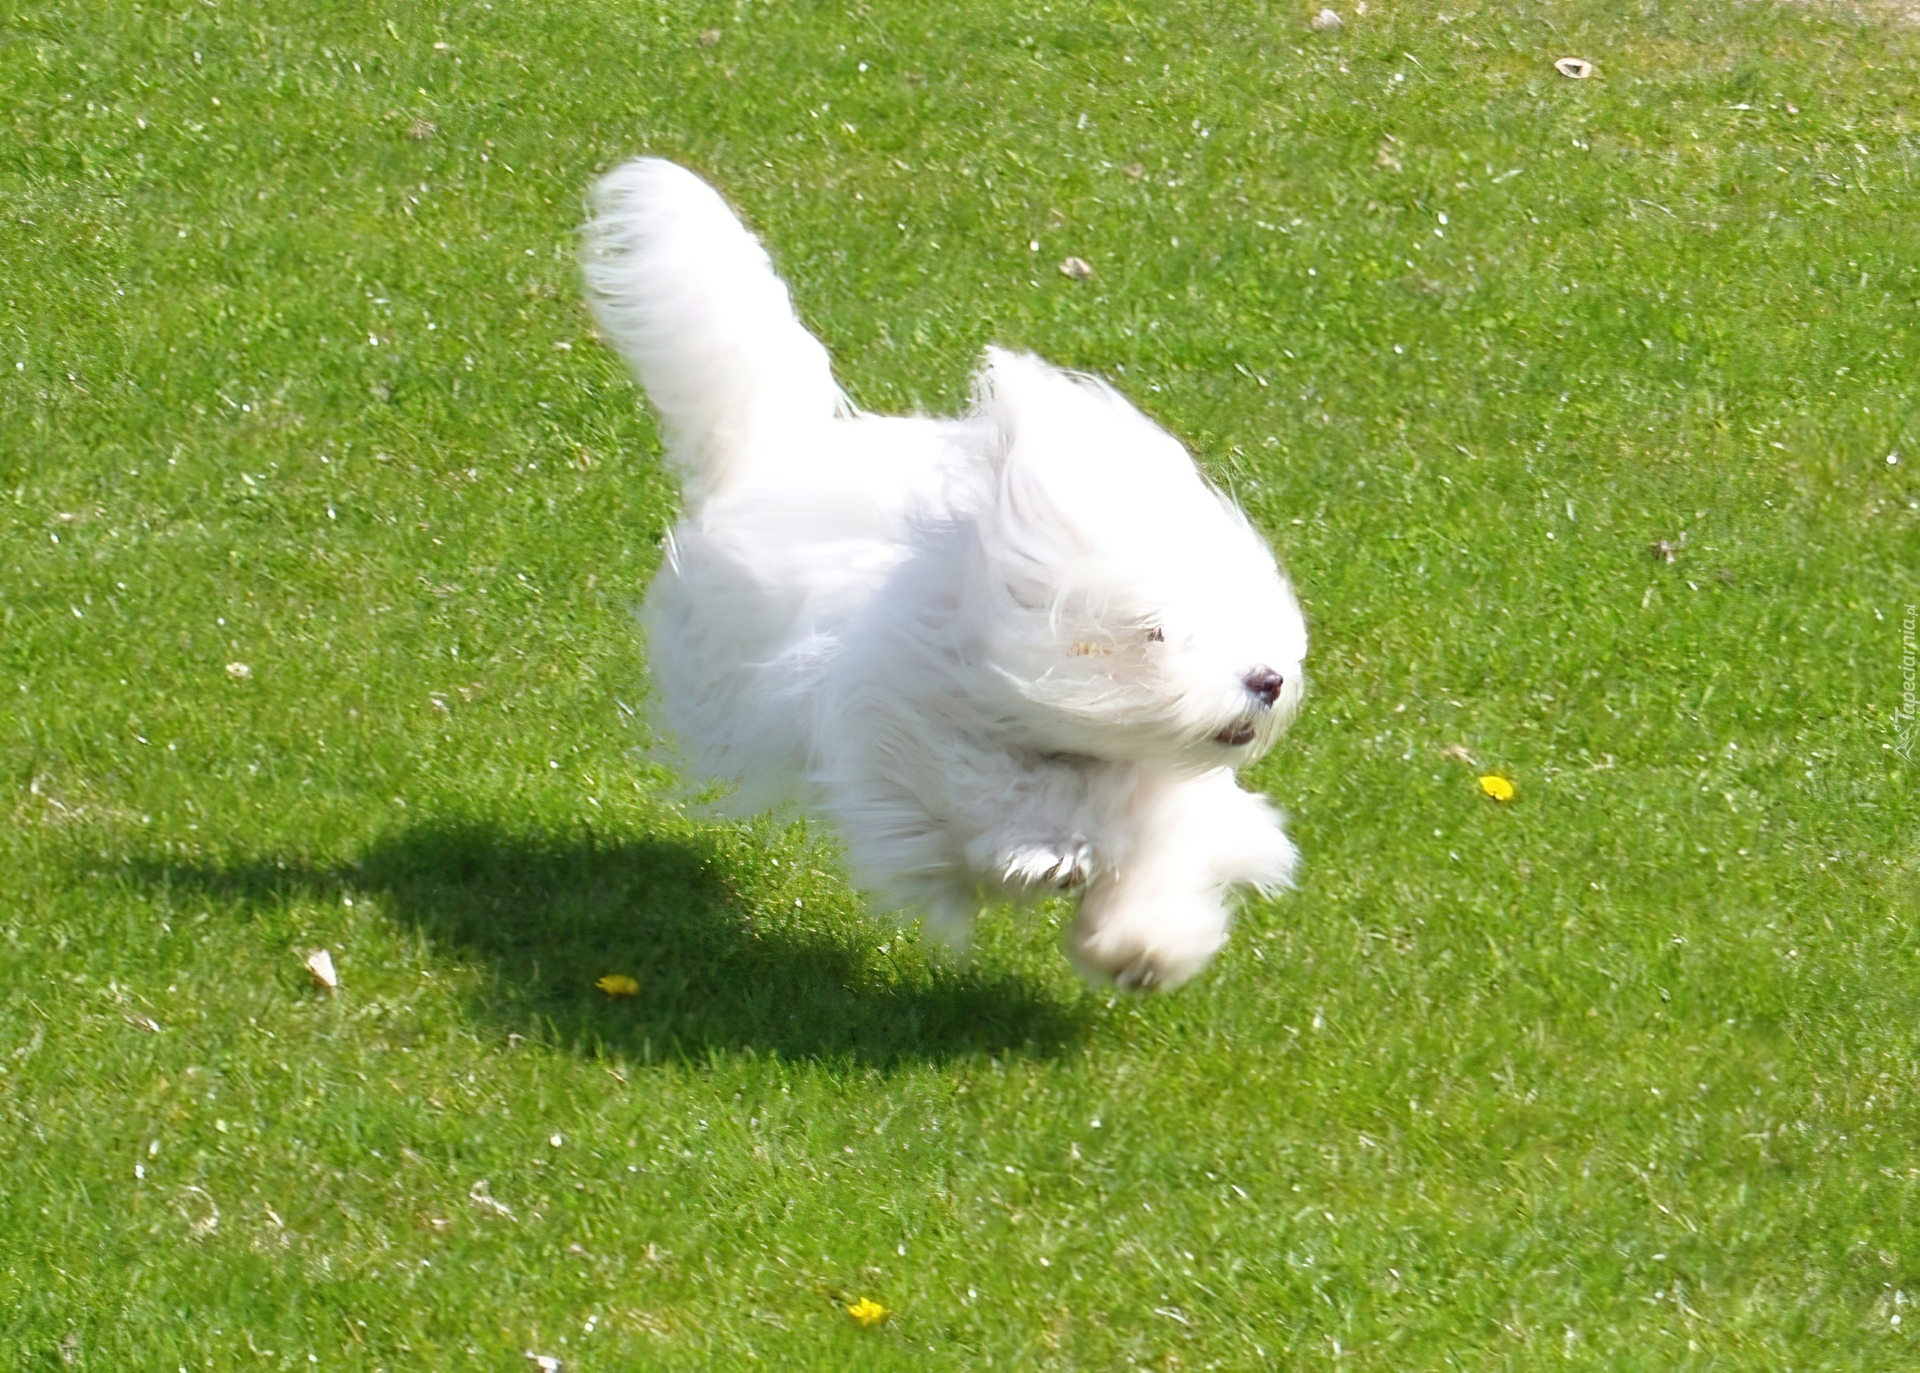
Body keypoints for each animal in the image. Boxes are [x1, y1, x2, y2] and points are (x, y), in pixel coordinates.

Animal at [579, 161, 1305, 990]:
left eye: (1236, 611)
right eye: (1153, 632)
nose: (1267, 679)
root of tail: (778, 447)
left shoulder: (1169, 796)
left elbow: (1166, 850)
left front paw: (1141, 946)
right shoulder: (912, 731)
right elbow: (995, 790)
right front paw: (1047, 853)